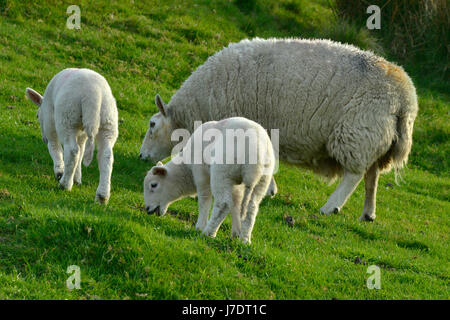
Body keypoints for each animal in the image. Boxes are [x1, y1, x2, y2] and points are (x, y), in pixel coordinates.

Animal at [25, 68, 118, 204]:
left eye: (37, 116)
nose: (43, 139)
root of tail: (94, 95)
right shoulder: (82, 134)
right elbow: (81, 151)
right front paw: (77, 178)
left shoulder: (49, 121)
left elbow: (54, 146)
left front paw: (60, 171)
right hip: (108, 119)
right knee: (106, 155)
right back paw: (102, 196)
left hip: (68, 115)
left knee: (72, 151)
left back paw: (64, 185)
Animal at [140, 37, 418, 221]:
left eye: (152, 125)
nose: (141, 155)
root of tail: (406, 98)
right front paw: (271, 188)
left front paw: (270, 189)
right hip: (375, 138)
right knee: (372, 176)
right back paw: (368, 213)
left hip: (357, 132)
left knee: (355, 175)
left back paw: (331, 206)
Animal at [144, 117, 276, 245]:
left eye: (154, 185)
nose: (147, 210)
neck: (187, 168)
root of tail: (257, 152)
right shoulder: (236, 185)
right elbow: (236, 203)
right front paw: (236, 232)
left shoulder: (201, 174)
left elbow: (204, 199)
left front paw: (200, 226)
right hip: (263, 179)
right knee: (251, 208)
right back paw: (245, 240)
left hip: (222, 172)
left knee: (223, 204)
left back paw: (208, 233)